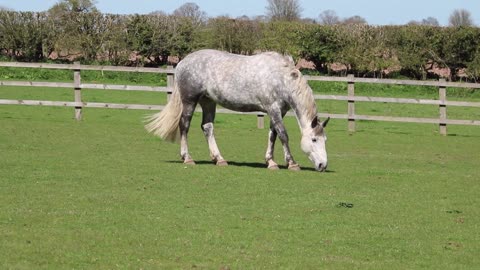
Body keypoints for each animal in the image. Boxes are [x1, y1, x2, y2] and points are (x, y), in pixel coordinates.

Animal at [144, 49, 328, 172]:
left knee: (207, 127)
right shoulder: (273, 108)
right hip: (190, 100)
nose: (323, 165)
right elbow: (283, 134)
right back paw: (187, 158)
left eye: (324, 139)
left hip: (208, 101)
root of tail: (182, 62)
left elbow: (273, 135)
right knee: (185, 125)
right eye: (314, 139)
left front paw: (270, 161)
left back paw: (219, 159)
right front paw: (291, 163)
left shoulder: (278, 111)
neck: (281, 77)